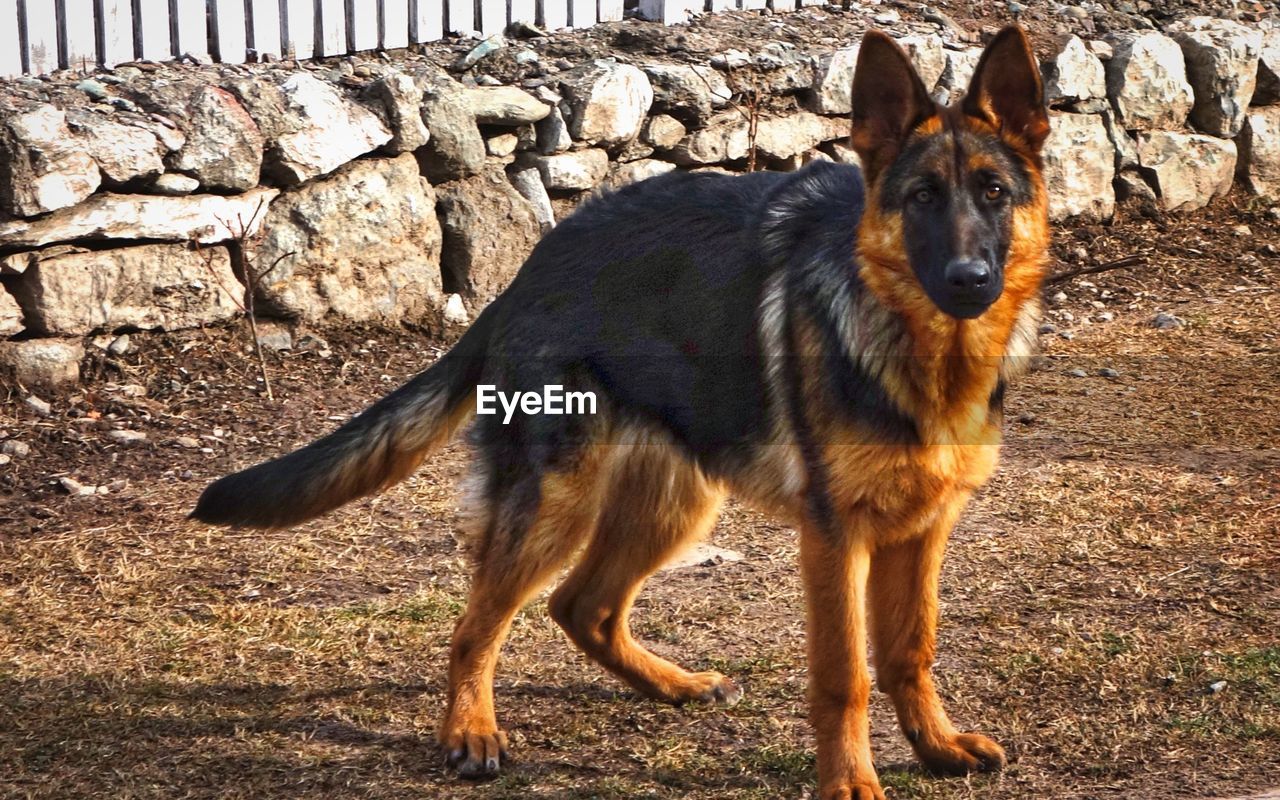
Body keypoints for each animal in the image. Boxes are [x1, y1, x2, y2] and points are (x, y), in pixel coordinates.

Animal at [192, 26, 1049, 798]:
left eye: (994, 194)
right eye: (921, 198)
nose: (970, 279)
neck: (920, 347)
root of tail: (531, 269)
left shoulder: (923, 528)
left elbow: (910, 650)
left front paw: (935, 748)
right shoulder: (836, 537)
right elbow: (846, 675)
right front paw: (850, 783)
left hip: (677, 502)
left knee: (585, 607)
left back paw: (670, 684)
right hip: (556, 504)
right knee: (477, 625)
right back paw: (470, 730)